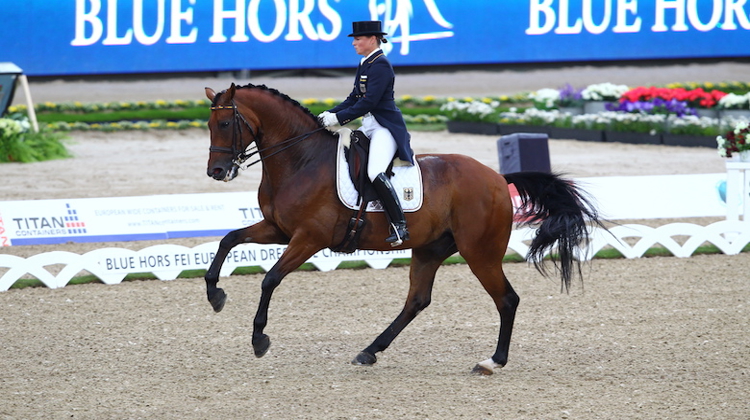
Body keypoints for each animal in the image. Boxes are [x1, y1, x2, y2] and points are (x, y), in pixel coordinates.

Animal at [201, 83, 604, 374]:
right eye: (209, 124)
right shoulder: (278, 229)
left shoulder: (308, 238)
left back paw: (492, 361)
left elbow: (270, 279)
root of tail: (496, 177)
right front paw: (215, 295)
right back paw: (369, 351)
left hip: (479, 252)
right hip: (430, 248)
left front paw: (259, 339)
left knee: (506, 299)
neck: (301, 161)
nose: (217, 172)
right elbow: (228, 240)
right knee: (417, 300)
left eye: (225, 124)